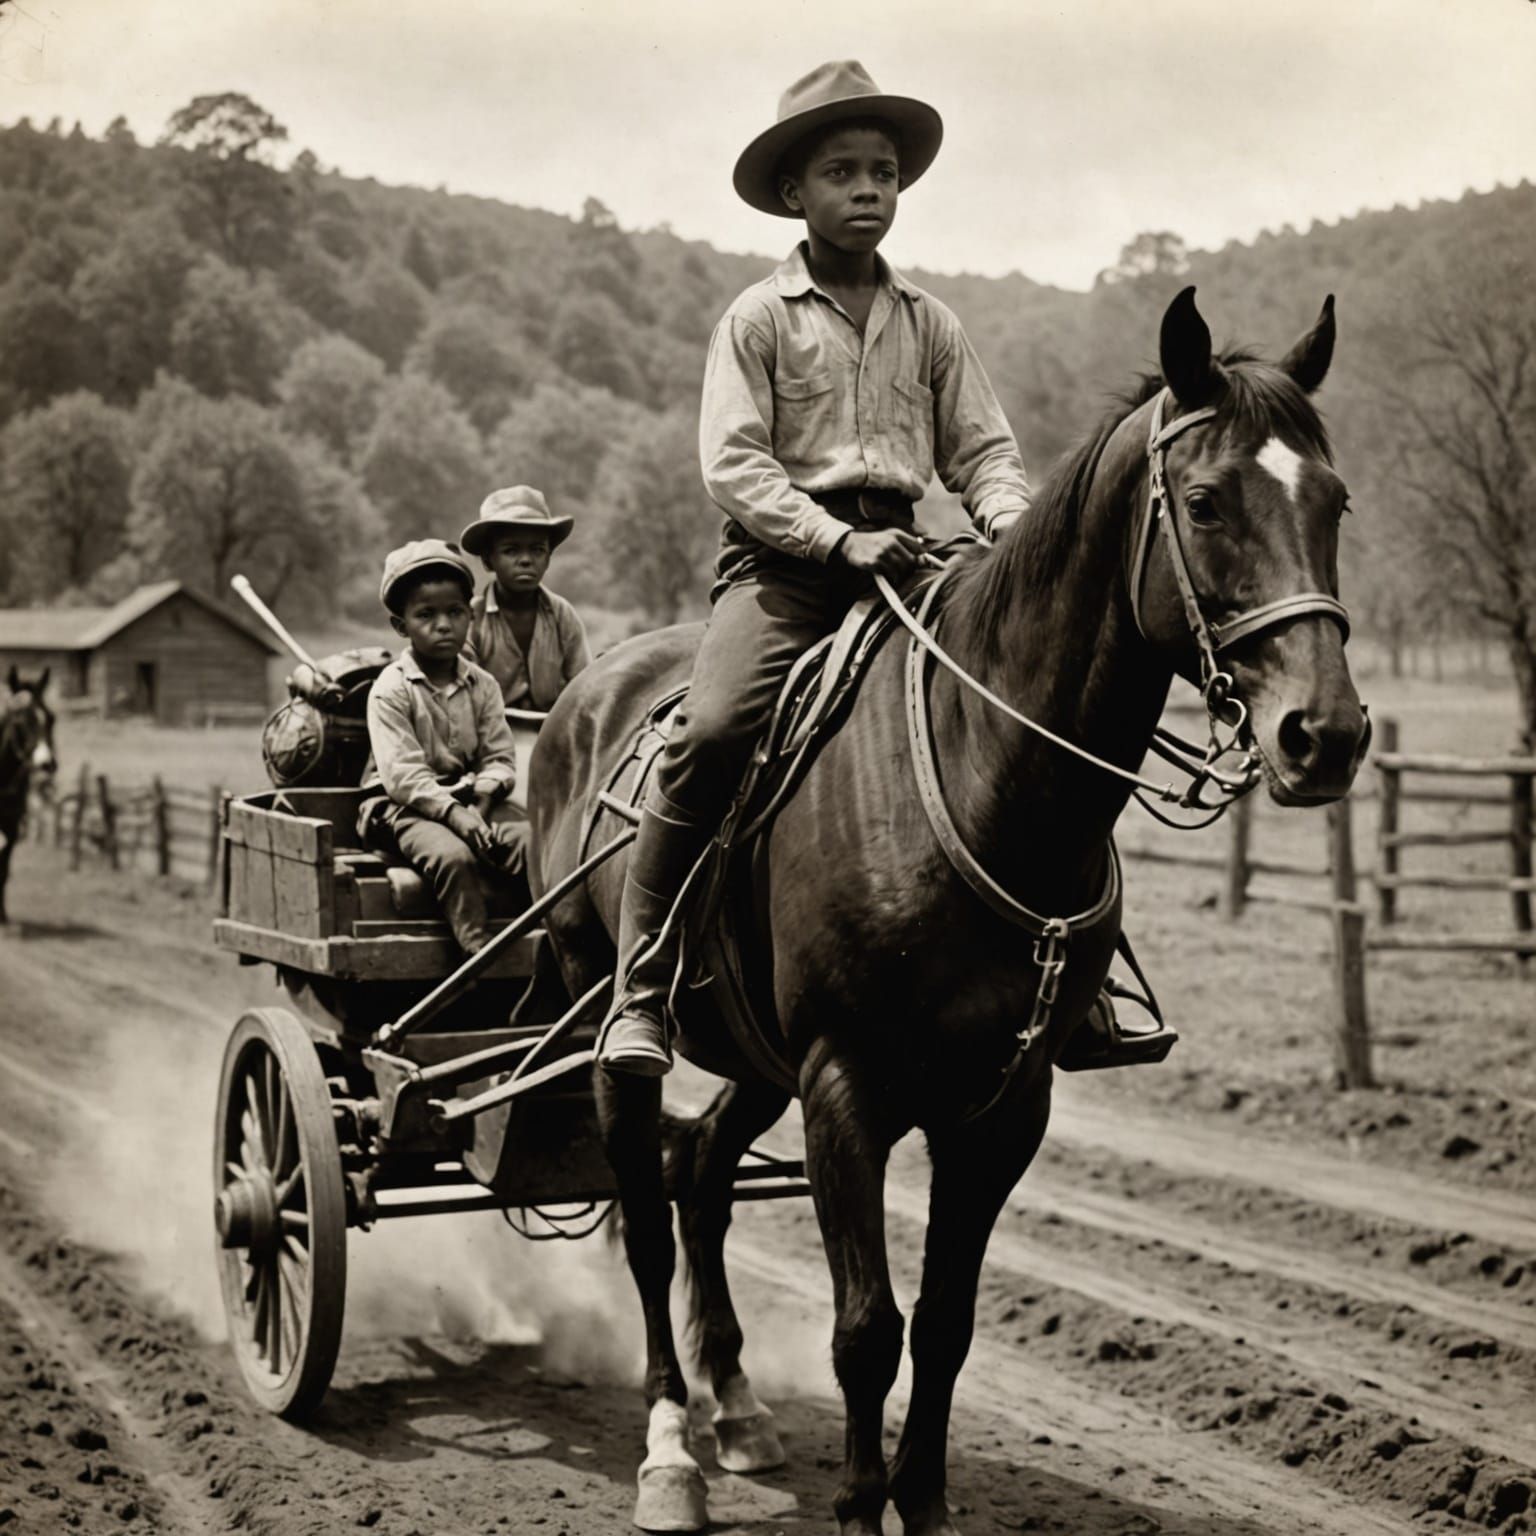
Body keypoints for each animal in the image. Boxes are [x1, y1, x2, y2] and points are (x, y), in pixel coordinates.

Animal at [528, 287, 1370, 1535]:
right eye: (1208, 501)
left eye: (1335, 499)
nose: (1328, 734)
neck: (987, 776)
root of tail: (581, 704)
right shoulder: (846, 1088)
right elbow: (867, 1332)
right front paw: (856, 1503)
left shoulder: (1004, 1108)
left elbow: (949, 1326)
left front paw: (919, 1504)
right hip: (614, 1030)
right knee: (642, 1212)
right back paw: (672, 1449)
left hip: (757, 1058)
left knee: (702, 1176)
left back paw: (738, 1409)